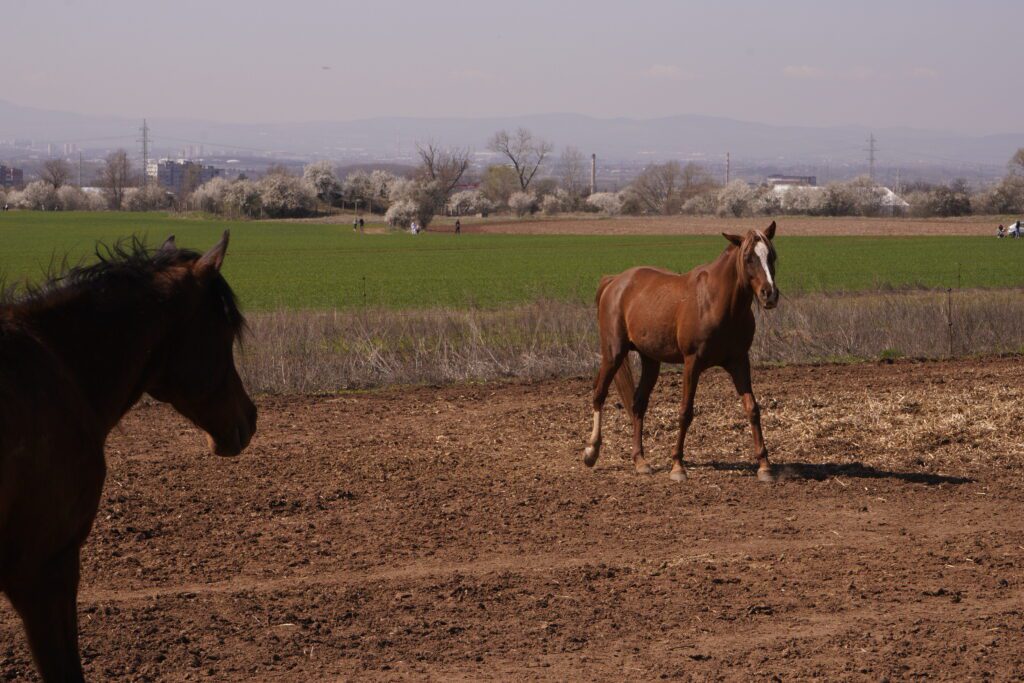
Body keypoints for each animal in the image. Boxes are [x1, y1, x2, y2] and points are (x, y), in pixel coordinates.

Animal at [583, 221, 780, 482]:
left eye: (772, 256)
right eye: (748, 258)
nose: (770, 294)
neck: (717, 303)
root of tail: (615, 281)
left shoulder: (739, 362)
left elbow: (753, 408)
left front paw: (765, 465)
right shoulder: (691, 363)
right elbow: (685, 411)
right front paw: (677, 466)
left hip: (650, 360)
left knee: (638, 404)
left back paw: (640, 460)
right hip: (613, 353)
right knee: (599, 394)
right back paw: (591, 451)